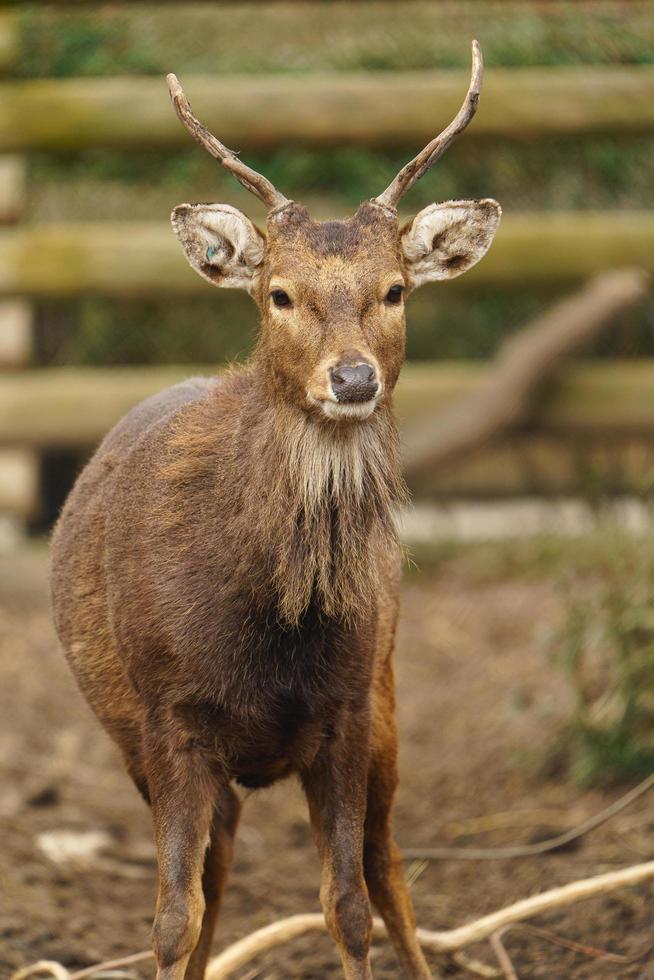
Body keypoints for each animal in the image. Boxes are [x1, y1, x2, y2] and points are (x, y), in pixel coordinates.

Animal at [51, 40, 502, 980]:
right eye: (280, 294)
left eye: (396, 290)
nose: (354, 378)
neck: (266, 626)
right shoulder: (168, 718)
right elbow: (171, 917)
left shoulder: (348, 708)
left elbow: (349, 905)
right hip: (137, 739)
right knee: (215, 873)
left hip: (389, 691)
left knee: (388, 865)